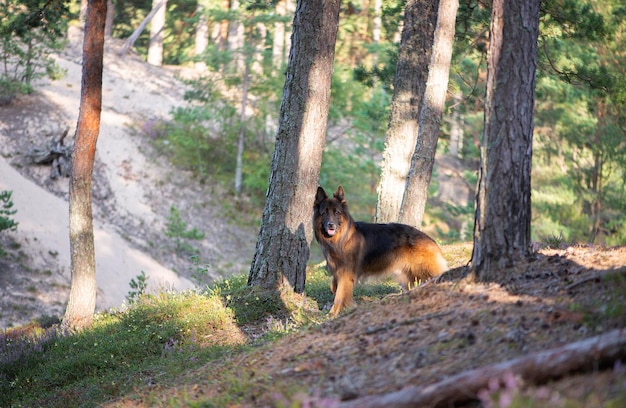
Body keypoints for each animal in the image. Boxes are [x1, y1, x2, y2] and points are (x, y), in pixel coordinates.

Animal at [314, 185, 446, 316]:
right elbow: (334, 287)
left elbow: (340, 295)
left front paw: (333, 314)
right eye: (324, 213)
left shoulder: (346, 273)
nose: (331, 225)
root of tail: (428, 238)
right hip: (404, 276)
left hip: (425, 271)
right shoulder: (337, 271)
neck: (341, 239)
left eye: (337, 212)